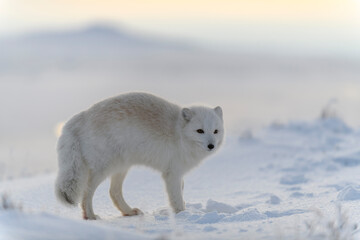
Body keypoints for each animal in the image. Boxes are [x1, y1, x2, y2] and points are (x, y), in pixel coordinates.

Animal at [54, 92, 224, 219]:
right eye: (200, 131)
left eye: (215, 131)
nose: (211, 146)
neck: (179, 133)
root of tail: (81, 117)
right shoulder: (172, 174)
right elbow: (176, 198)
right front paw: (183, 215)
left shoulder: (177, 173)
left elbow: (180, 192)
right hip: (104, 168)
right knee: (87, 191)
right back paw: (90, 216)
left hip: (121, 166)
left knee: (113, 192)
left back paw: (128, 212)